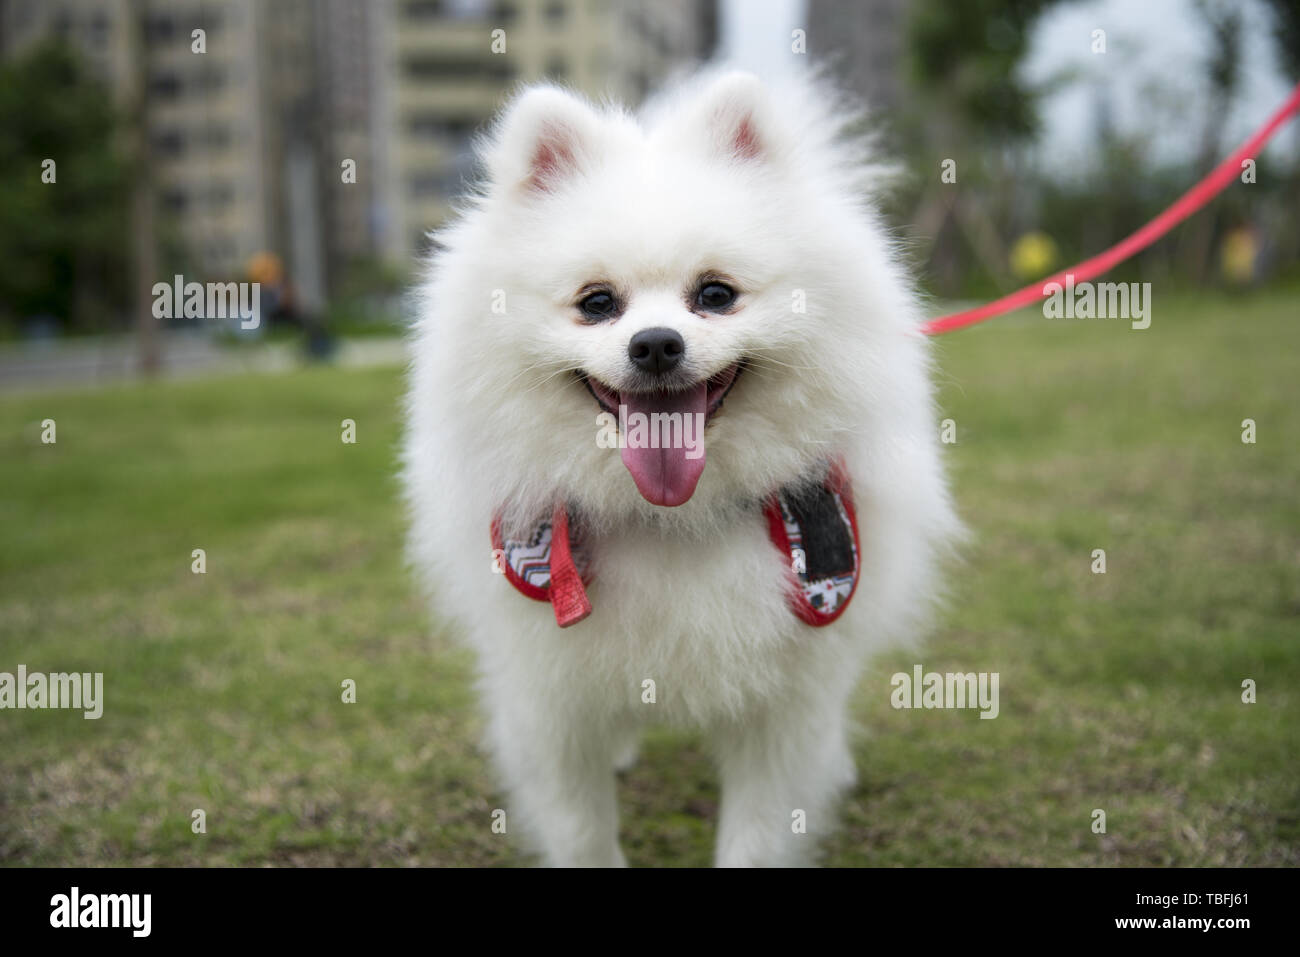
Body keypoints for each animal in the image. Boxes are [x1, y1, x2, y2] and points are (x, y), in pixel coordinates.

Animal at [400, 69, 961, 868]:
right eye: (597, 302)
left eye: (716, 294)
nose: (657, 343)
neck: (673, 520)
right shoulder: (551, 696)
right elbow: (581, 827)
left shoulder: (785, 705)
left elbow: (759, 831)